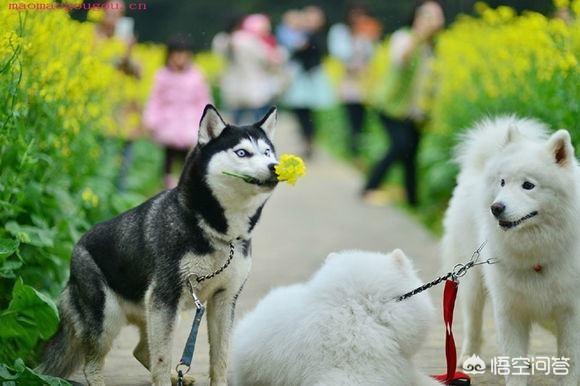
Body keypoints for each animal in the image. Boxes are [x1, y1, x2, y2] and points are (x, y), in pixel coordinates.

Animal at [38, 105, 278, 386]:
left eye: (268, 152)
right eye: (242, 153)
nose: (275, 167)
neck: (219, 232)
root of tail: (76, 249)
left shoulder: (224, 299)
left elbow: (220, 358)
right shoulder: (165, 297)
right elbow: (162, 360)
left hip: (151, 311)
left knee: (141, 350)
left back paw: (178, 376)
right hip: (110, 318)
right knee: (94, 365)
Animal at [444, 115, 580, 386]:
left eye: (528, 185)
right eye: (503, 182)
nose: (496, 208)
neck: (538, 251)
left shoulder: (571, 312)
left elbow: (569, 358)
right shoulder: (509, 310)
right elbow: (513, 357)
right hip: (472, 282)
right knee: (473, 322)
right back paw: (469, 359)